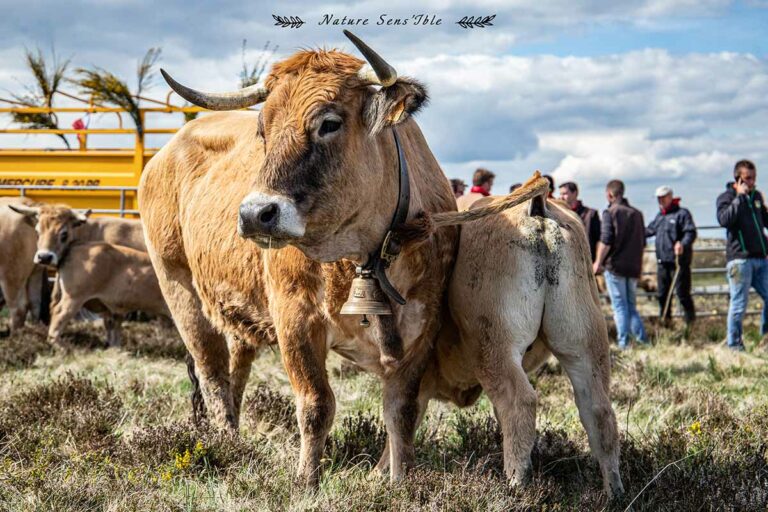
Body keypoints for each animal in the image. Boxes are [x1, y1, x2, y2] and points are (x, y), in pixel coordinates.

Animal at [139, 31, 550, 488]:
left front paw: (399, 482)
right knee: (211, 371)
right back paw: (226, 441)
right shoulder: (295, 317)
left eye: (328, 123)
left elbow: (402, 411)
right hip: (178, 286)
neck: (370, 255)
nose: (255, 213)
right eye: (263, 129)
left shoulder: (422, 326)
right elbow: (316, 404)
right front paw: (307, 481)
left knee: (235, 367)